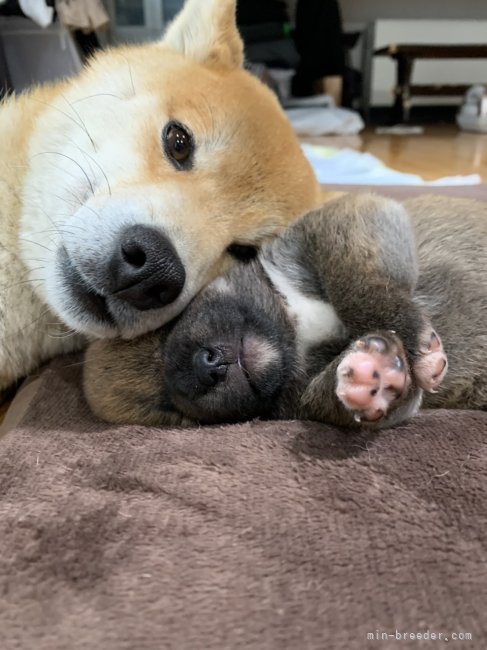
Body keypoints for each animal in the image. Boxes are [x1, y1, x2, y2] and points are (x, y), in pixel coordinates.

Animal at [85, 190, 487, 428]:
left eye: (166, 328)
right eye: (169, 409)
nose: (206, 367)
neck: (293, 328)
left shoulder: (351, 219)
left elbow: (358, 283)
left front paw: (414, 342)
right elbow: (330, 400)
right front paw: (371, 373)